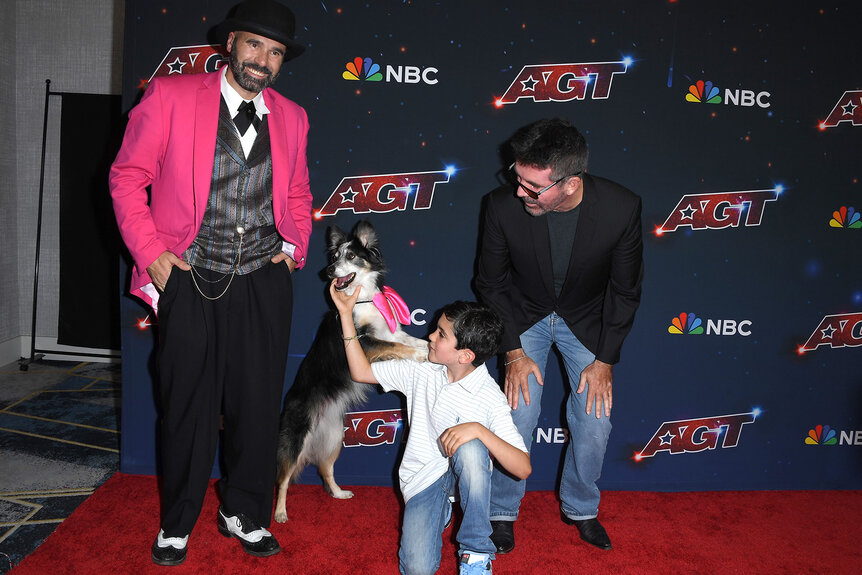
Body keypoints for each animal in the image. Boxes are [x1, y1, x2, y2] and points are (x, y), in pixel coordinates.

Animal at [274, 222, 428, 528]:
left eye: (351, 256)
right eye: (334, 257)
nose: (328, 271)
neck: (362, 296)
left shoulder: (389, 331)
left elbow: (409, 340)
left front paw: (431, 348)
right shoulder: (364, 343)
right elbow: (397, 347)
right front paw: (420, 355)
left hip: (334, 437)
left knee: (326, 469)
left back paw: (338, 493)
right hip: (296, 437)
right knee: (283, 479)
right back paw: (280, 513)